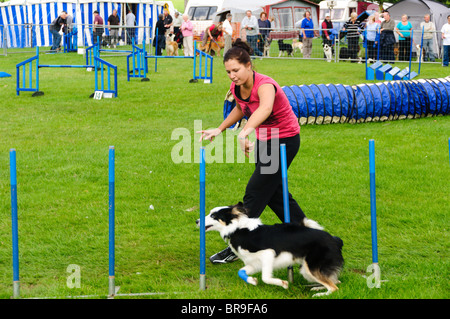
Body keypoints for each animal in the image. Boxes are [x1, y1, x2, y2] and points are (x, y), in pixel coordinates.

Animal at [195, 204, 342, 298]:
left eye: (213, 216)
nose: (196, 221)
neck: (237, 229)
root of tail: (335, 240)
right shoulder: (253, 263)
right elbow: (240, 272)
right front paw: (252, 281)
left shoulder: (268, 254)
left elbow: (265, 277)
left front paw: (283, 284)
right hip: (306, 270)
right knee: (335, 282)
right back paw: (317, 287)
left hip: (310, 268)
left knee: (334, 288)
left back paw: (320, 294)